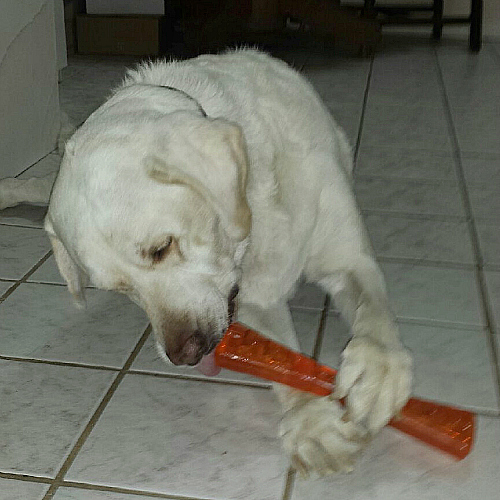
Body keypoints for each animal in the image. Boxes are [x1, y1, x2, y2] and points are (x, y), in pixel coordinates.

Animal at [0, 49, 410, 476]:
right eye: (120, 289)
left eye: (160, 248)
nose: (185, 356)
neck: (254, 203)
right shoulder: (253, 302)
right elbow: (284, 360)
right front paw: (312, 420)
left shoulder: (346, 256)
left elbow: (372, 310)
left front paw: (377, 371)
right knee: (38, 185)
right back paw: (8, 188)